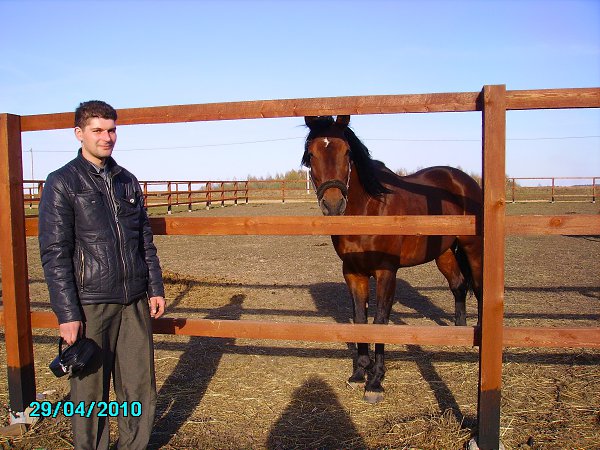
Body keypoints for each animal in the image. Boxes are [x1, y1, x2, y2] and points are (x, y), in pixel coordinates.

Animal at [303, 115, 483, 403]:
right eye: (311, 154)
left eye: (348, 152)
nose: (333, 205)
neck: (370, 209)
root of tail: (463, 179)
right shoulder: (353, 273)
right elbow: (360, 320)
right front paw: (358, 374)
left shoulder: (386, 272)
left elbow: (379, 322)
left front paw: (375, 382)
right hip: (443, 253)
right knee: (458, 285)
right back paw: (458, 333)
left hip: (472, 247)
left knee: (477, 287)